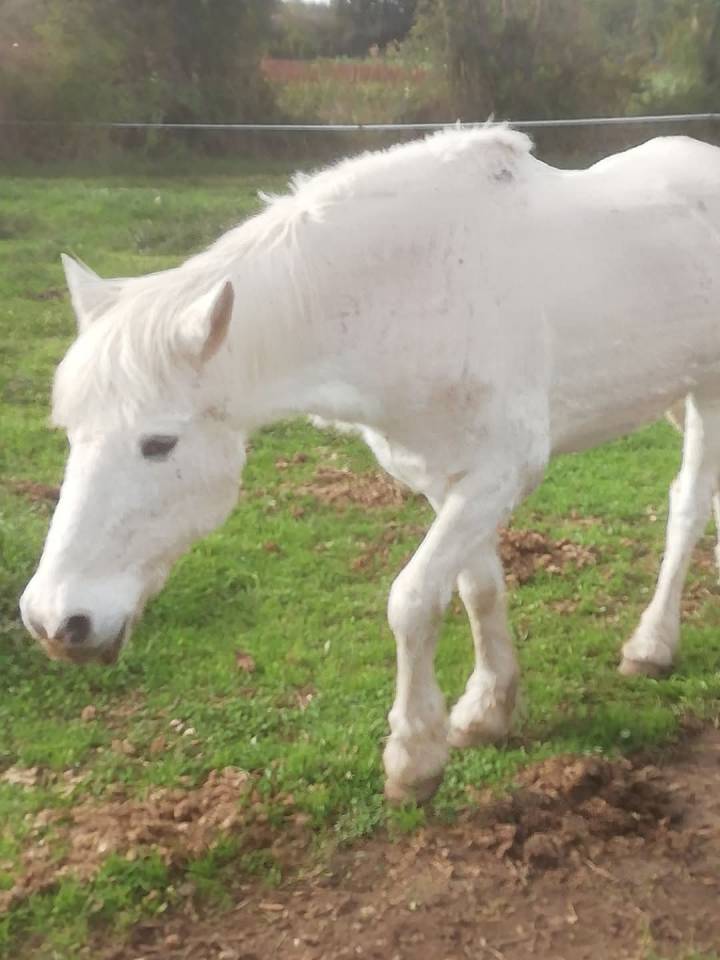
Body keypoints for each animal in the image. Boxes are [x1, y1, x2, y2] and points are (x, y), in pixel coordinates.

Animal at [20, 126, 720, 803]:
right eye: (71, 433)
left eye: (159, 444)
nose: (56, 621)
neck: (414, 292)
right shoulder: (446, 477)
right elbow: (477, 589)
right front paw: (487, 708)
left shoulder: (502, 473)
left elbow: (411, 601)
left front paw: (413, 758)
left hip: (708, 393)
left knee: (687, 508)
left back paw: (652, 646)